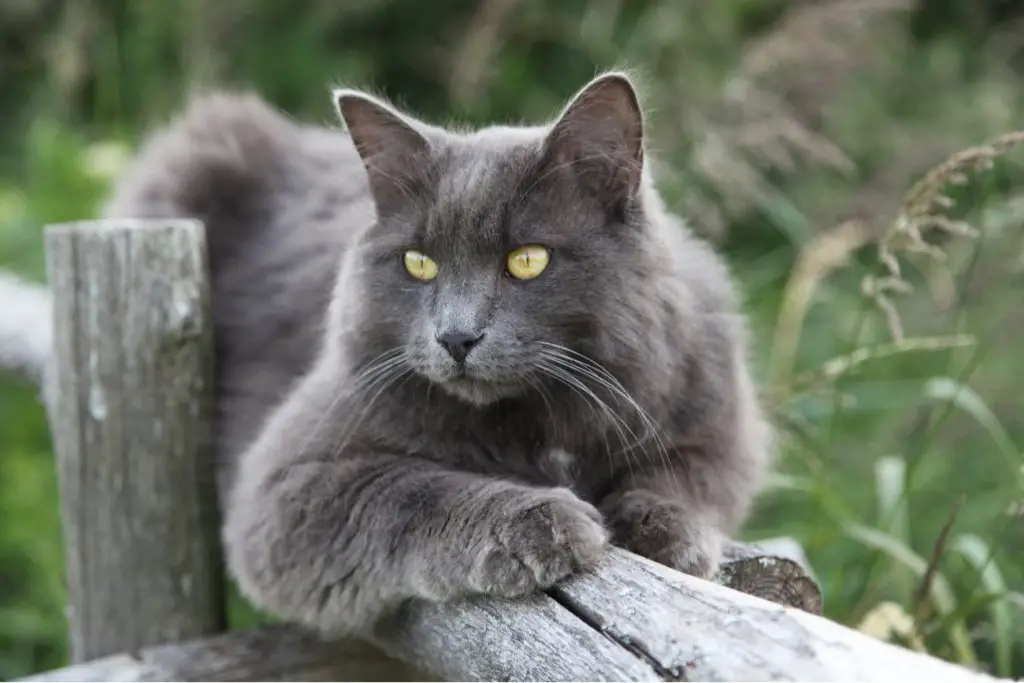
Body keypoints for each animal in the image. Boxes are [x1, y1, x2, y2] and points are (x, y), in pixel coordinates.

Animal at [105, 72, 774, 638]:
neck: (543, 417)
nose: (456, 336)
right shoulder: (287, 485)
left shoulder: (716, 420)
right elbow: (414, 489)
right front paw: (541, 522)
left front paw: (665, 530)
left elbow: (686, 478)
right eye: (418, 263)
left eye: (527, 260)